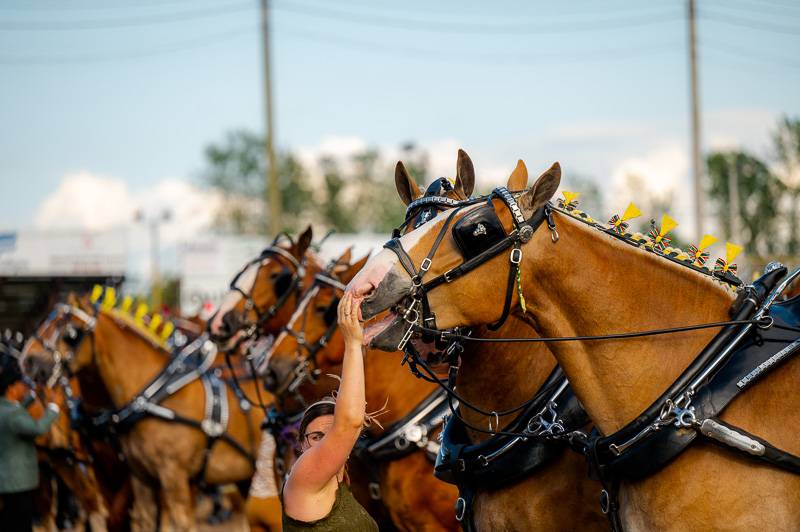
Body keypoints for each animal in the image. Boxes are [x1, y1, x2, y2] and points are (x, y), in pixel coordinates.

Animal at [21, 298, 266, 528]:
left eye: (69, 332)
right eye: (44, 321)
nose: (27, 360)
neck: (153, 397)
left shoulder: (174, 477)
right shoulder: (140, 478)